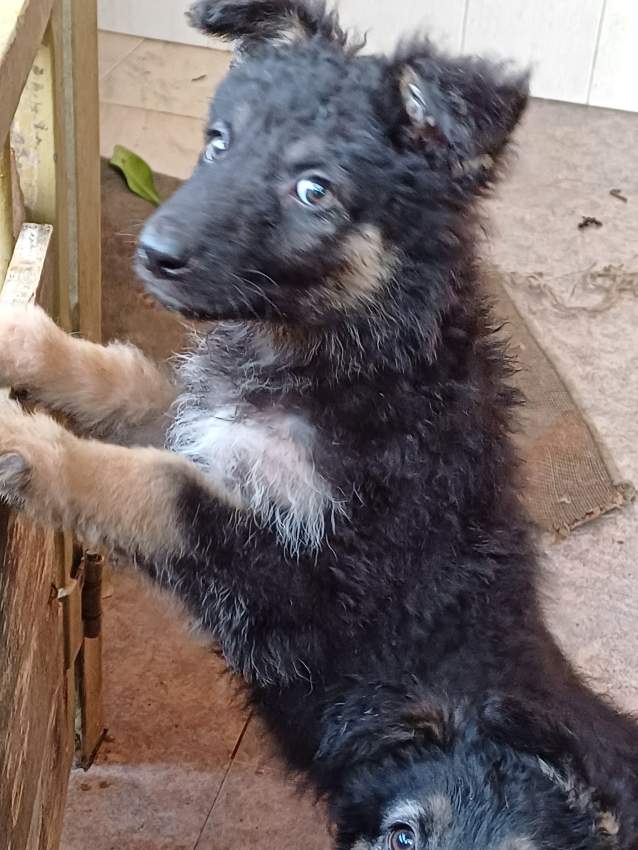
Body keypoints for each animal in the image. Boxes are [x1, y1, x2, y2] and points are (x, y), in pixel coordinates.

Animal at [0, 0, 636, 844]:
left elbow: (155, 485)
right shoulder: (211, 421)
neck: (347, 356)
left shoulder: (297, 570)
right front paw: (19, 339)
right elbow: (127, 381)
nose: (152, 252)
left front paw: (26, 443)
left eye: (313, 190)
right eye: (218, 143)